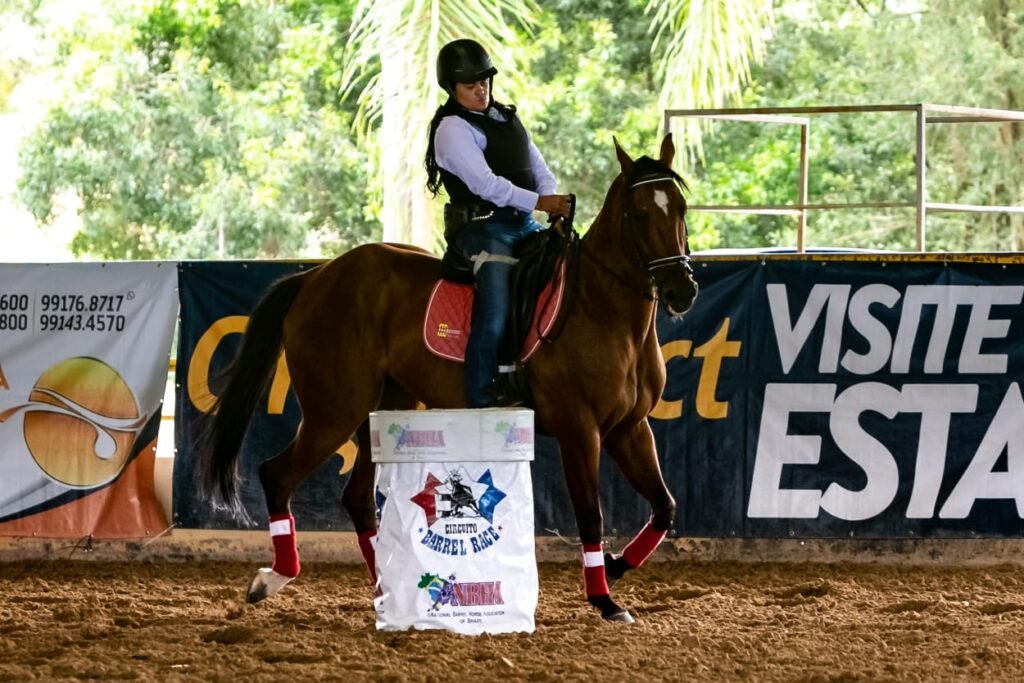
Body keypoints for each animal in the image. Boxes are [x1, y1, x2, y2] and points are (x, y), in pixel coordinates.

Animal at [201, 134, 698, 623]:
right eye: (637, 215)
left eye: (680, 208)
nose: (682, 290)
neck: (602, 310)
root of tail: (316, 276)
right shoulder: (581, 431)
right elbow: (591, 516)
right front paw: (604, 600)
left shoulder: (629, 429)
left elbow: (666, 507)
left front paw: (613, 569)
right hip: (333, 414)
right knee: (277, 475)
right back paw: (274, 578)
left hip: (382, 411)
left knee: (357, 499)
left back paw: (387, 595)